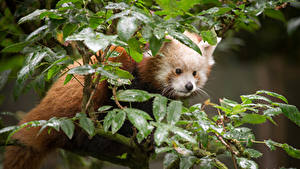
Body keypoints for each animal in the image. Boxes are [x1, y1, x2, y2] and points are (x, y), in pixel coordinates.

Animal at [2, 31, 220, 168]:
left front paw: (150, 138)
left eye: (195, 73)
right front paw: (140, 136)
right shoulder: (124, 75)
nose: (189, 86)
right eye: (178, 70)